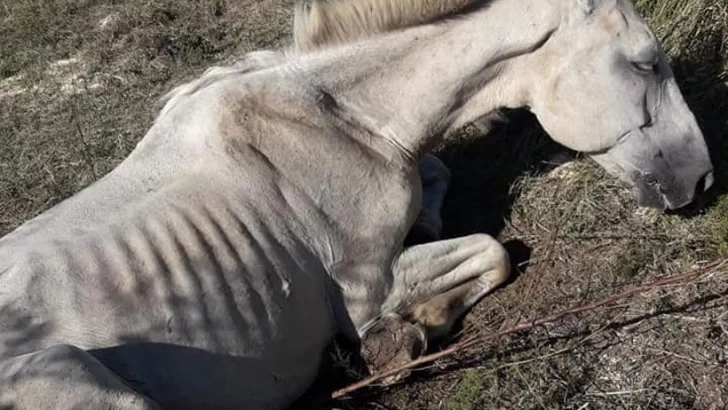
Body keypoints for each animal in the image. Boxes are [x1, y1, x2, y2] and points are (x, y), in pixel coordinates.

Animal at [0, 0, 712, 406]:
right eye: (644, 64)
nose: (703, 180)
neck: (338, 117)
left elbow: (437, 179)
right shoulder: (368, 287)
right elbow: (493, 251)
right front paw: (398, 338)